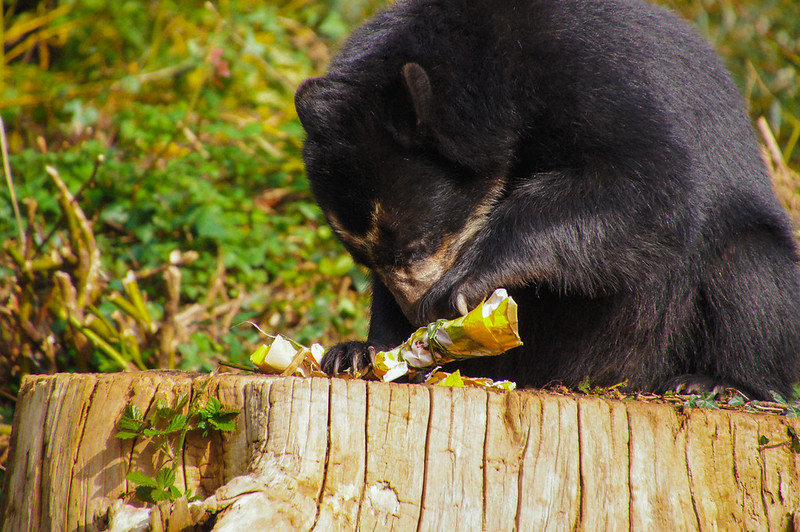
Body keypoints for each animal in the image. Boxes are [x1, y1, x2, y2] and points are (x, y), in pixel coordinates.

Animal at [294, 0, 800, 400]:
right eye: (366, 259)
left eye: (415, 247)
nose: (416, 312)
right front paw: (369, 351)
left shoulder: (592, 72)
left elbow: (644, 185)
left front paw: (461, 288)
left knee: (747, 269)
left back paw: (714, 382)